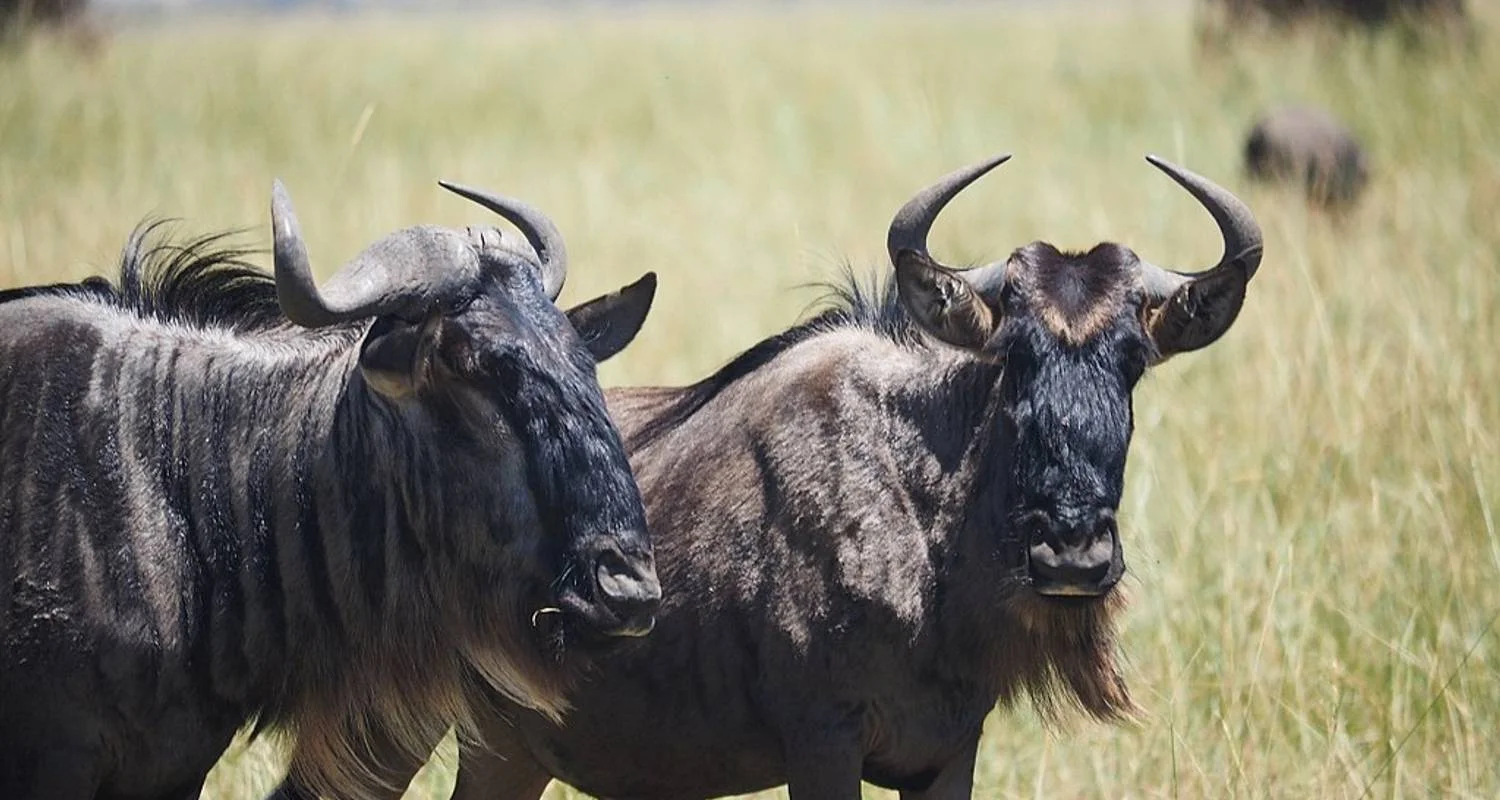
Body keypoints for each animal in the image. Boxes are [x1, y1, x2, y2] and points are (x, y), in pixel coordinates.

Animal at [269, 152, 1264, 800]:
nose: (1073, 557)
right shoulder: (822, 743)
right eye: (1012, 357)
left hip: (499, 750)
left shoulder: (949, 751)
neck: (915, 520)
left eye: (1133, 361)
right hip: (384, 725)